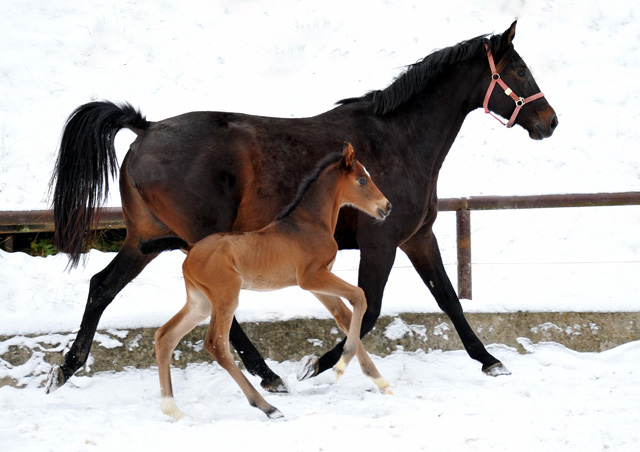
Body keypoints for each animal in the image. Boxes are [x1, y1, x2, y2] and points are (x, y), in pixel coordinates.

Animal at [149, 144, 390, 420]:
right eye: (362, 180)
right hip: (226, 297)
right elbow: (360, 296)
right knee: (216, 344)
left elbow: (346, 317)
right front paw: (339, 368)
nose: (387, 206)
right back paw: (268, 407)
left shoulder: (318, 285)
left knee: (165, 336)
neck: (311, 224)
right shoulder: (312, 277)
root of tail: (190, 251)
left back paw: (172, 408)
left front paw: (380, 381)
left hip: (200, 302)